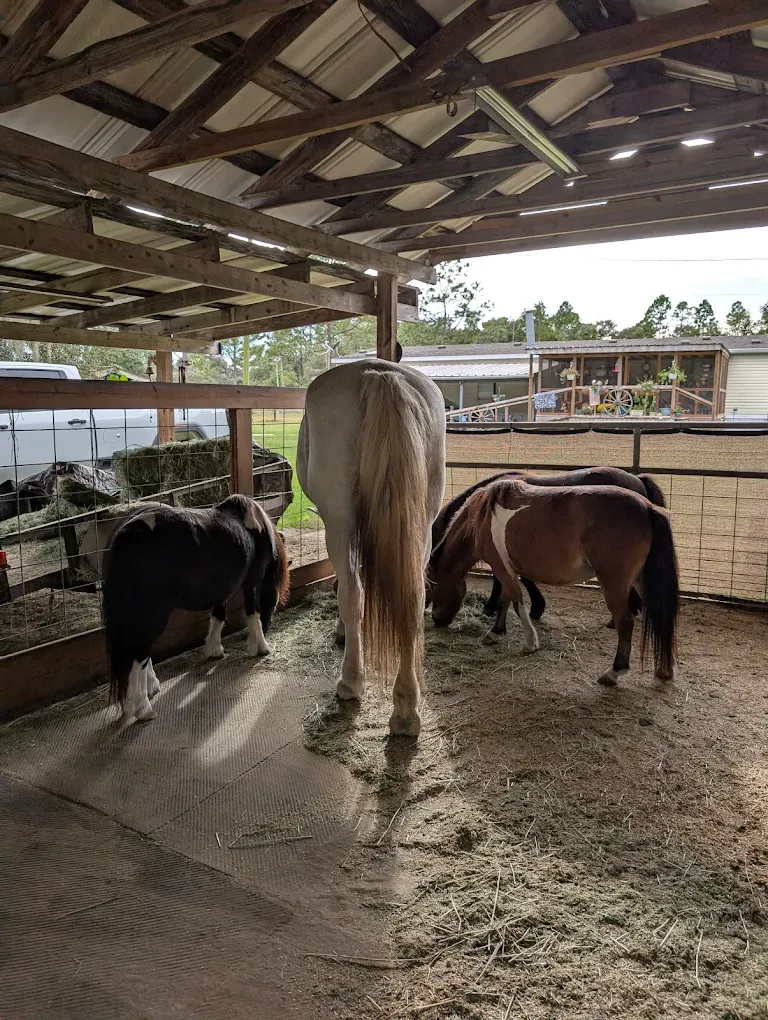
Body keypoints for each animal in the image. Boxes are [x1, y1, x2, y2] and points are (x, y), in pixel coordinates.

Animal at [103, 494, 289, 723]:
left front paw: (214, 650)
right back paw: (143, 708)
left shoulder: (221, 588)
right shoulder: (252, 581)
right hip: (154, 612)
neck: (254, 527)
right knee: (139, 651)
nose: (269, 625)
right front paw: (261, 647)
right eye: (275, 596)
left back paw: (150, 688)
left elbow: (219, 615)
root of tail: (131, 533)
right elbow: (252, 613)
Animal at [297, 360, 445, 737]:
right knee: (414, 600)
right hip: (423, 527)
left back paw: (351, 681)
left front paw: (342, 633)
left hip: (339, 524)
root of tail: (381, 374)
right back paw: (406, 709)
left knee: (353, 594)